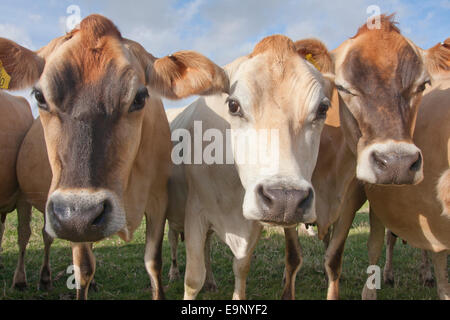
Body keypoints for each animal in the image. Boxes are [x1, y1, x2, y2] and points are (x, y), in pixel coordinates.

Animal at [0, 14, 229, 300]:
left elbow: (153, 260)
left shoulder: (159, 200)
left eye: (140, 97)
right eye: (40, 96)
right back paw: (30, 279)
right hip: (35, 202)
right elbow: (84, 267)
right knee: (32, 235)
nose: (79, 213)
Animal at [166, 35, 334, 300]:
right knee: (173, 239)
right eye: (233, 105)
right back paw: (173, 272)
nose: (285, 199)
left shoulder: (253, 221)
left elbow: (241, 267)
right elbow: (193, 278)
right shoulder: (195, 211)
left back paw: (211, 281)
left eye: (322, 109)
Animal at [284, 14, 450, 300]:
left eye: (422, 85)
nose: (396, 163)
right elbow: (293, 257)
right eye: (343, 87)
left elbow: (334, 259)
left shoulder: (351, 197)